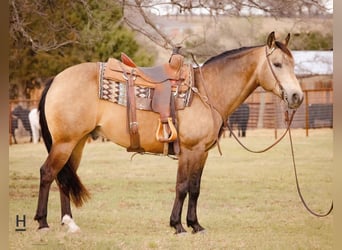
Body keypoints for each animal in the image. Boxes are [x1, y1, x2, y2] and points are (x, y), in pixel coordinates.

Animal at [34, 32, 302, 233]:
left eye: (293, 64)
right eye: (277, 64)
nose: (296, 96)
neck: (206, 91)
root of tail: (56, 79)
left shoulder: (202, 153)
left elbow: (195, 187)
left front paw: (195, 225)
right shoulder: (190, 151)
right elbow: (182, 186)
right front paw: (178, 225)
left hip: (76, 143)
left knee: (64, 177)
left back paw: (69, 223)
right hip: (64, 143)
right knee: (48, 173)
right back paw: (43, 222)